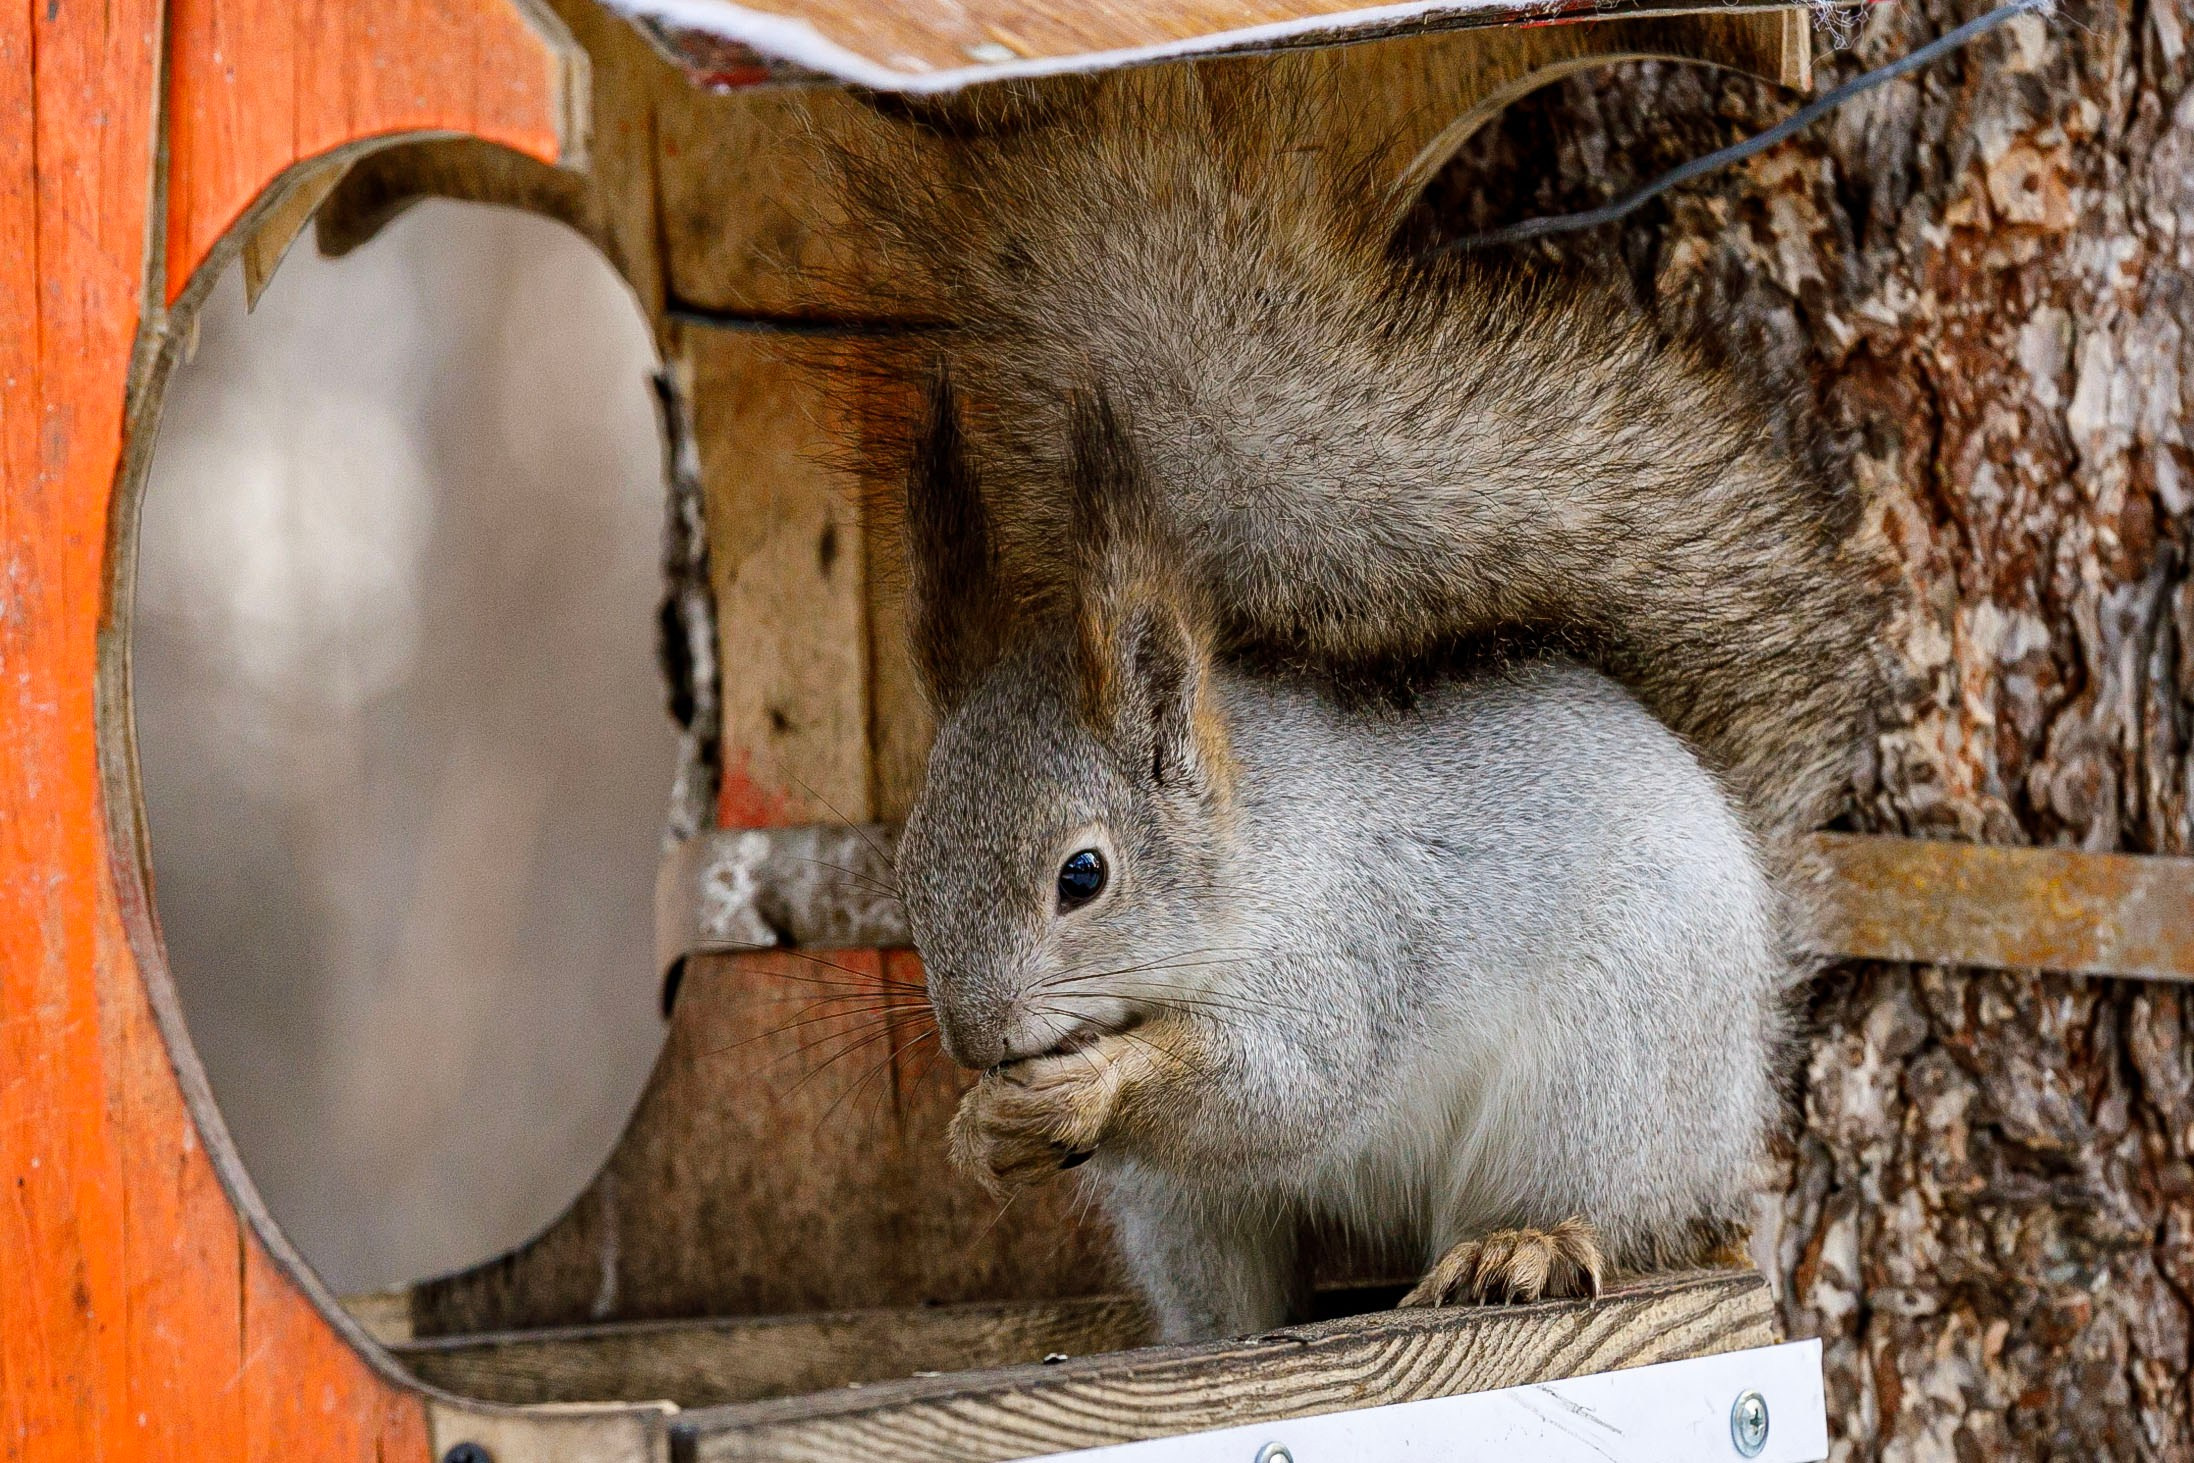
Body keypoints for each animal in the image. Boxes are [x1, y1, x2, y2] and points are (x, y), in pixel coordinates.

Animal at [895, 381, 1794, 1342]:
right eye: (909, 872)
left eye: (1083, 876)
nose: (973, 1040)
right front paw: (979, 1128)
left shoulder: (1349, 946)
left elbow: (1290, 1082)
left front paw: (1094, 1080)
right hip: (1184, 1213)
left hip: (1607, 1075)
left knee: (1604, 1207)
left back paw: (1522, 1246)